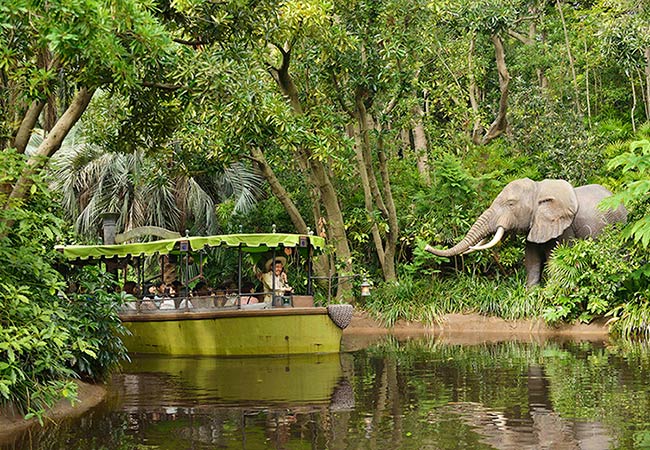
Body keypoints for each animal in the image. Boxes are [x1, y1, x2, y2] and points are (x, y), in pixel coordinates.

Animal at [422, 178, 624, 286]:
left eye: (511, 204)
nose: (425, 247)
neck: (538, 189)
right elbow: (531, 259)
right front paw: (531, 293)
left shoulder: (564, 227)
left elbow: (556, 258)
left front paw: (550, 293)